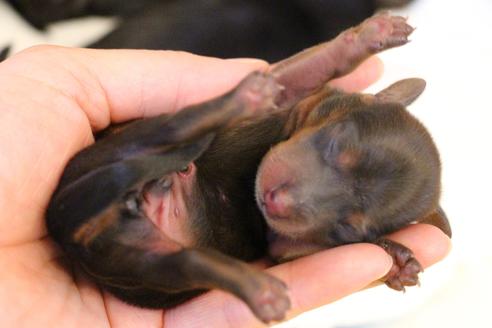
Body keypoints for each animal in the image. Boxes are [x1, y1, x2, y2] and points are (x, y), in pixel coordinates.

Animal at [45, 13, 446, 322]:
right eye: (334, 141)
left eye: (345, 229)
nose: (276, 200)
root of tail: (72, 226)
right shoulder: (286, 96)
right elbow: (312, 68)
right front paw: (371, 35)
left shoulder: (281, 242)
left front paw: (394, 258)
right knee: (177, 127)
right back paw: (242, 97)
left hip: (139, 261)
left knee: (187, 260)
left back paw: (260, 291)